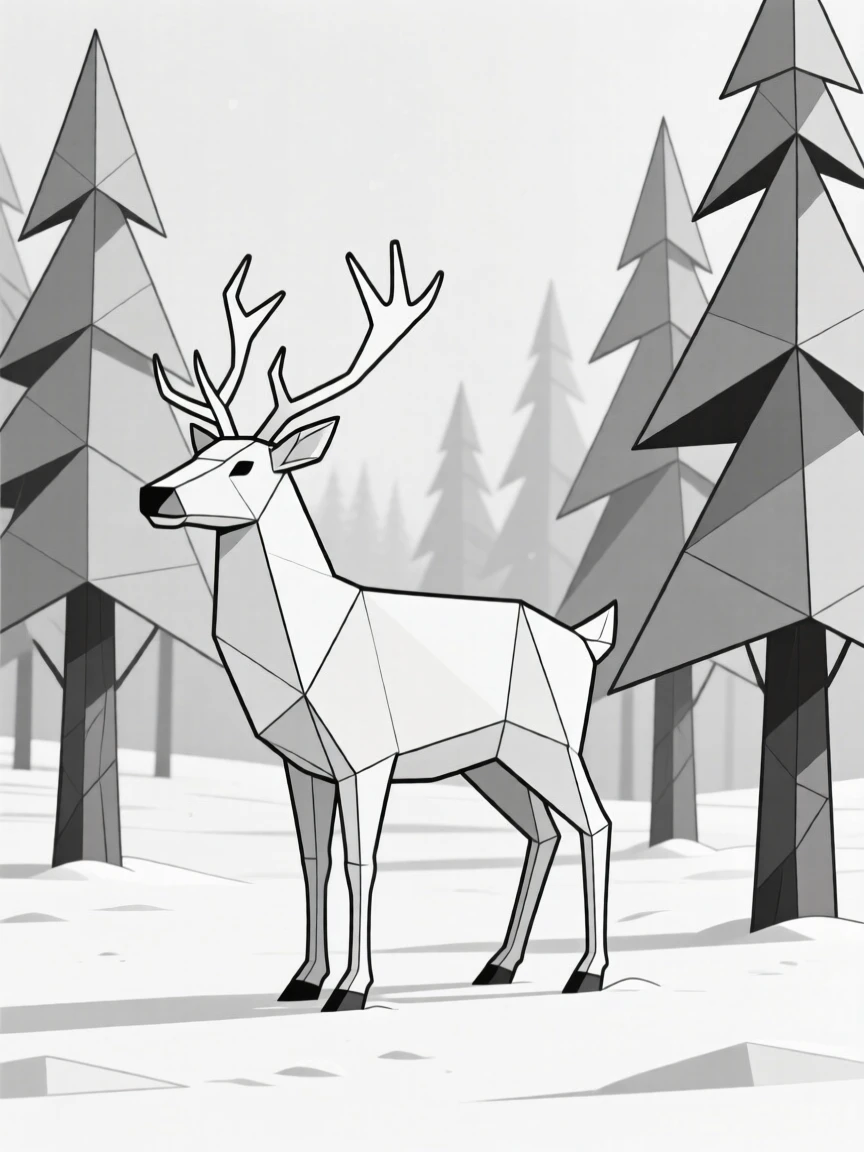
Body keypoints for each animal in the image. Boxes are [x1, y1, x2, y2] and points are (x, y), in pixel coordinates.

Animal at [140, 242, 615, 1012]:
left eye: (244, 463)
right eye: (198, 452)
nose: (154, 494)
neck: (304, 653)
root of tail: (587, 640)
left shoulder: (368, 755)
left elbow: (361, 860)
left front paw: (352, 988)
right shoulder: (302, 760)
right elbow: (311, 859)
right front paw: (301, 979)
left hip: (553, 738)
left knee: (595, 823)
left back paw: (588, 970)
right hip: (491, 759)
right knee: (543, 830)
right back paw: (499, 964)